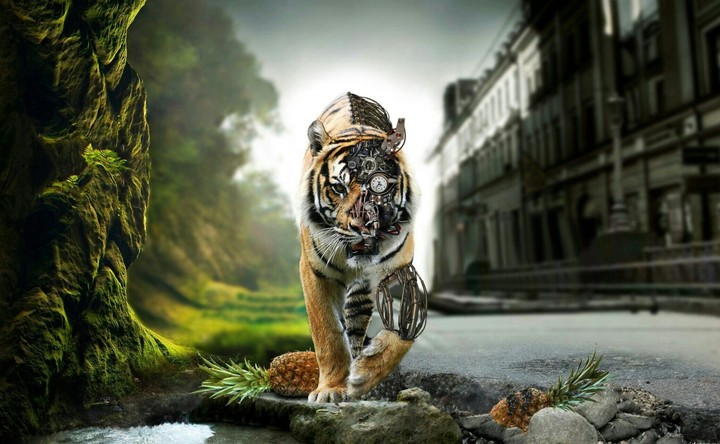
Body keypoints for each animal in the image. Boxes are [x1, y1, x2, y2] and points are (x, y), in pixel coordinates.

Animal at [297, 92, 422, 403]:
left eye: (379, 187)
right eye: (338, 188)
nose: (363, 226)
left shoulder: (402, 272)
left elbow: (403, 332)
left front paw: (365, 374)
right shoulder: (314, 273)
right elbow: (327, 333)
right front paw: (330, 389)